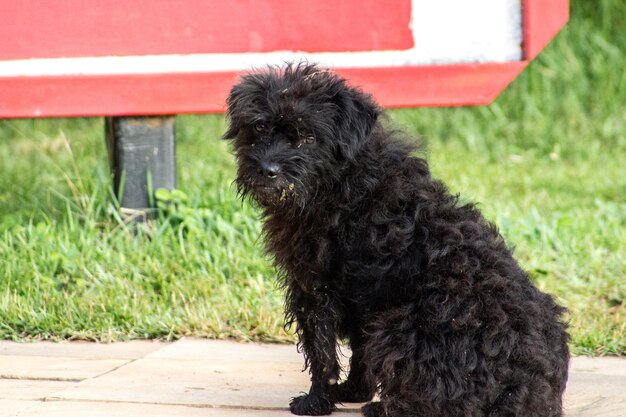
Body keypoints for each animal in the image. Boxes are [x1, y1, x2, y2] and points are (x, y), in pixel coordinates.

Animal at [222, 62, 568, 416]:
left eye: (308, 137)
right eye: (260, 127)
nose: (268, 169)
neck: (344, 181)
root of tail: (523, 386)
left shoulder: (315, 289)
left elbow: (322, 354)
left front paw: (316, 401)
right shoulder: (361, 298)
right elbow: (357, 351)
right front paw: (353, 391)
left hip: (398, 329)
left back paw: (381, 408)